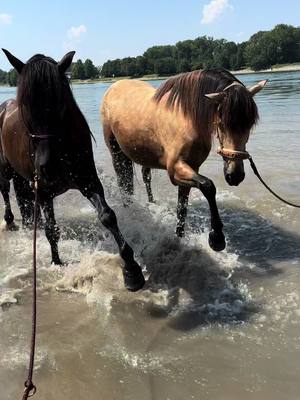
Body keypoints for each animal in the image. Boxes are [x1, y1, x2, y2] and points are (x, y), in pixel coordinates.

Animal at [0, 50, 145, 292]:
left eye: (60, 104)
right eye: (25, 107)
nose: (47, 167)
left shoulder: (89, 182)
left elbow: (108, 216)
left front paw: (131, 269)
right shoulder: (44, 191)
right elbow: (51, 229)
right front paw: (56, 263)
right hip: (7, 170)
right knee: (5, 191)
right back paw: (10, 220)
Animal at [101, 69, 268, 250]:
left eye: (250, 124)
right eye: (221, 122)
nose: (235, 175)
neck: (186, 117)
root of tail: (114, 86)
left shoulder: (192, 168)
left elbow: (182, 209)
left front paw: (179, 239)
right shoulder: (175, 170)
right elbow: (208, 186)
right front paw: (216, 237)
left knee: (145, 176)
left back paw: (151, 203)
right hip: (117, 153)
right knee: (124, 183)